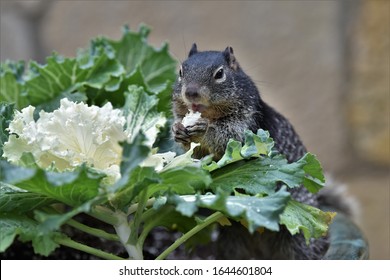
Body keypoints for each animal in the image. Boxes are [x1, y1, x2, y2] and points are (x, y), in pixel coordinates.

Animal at [171, 43, 354, 260]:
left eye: (219, 74)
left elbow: (227, 138)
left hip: (298, 235)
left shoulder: (247, 125)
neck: (211, 115)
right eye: (180, 71)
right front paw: (177, 130)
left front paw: (203, 129)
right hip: (231, 236)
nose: (191, 92)